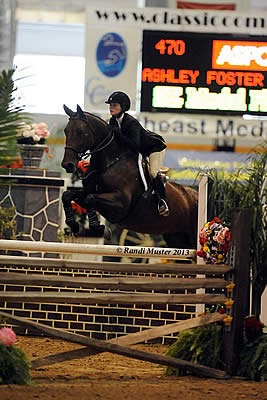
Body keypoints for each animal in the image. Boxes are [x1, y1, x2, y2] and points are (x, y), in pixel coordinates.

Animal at [61, 105, 199, 250]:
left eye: (81, 132)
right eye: (66, 131)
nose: (68, 165)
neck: (109, 163)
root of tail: (195, 195)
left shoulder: (121, 203)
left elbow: (89, 198)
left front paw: (97, 228)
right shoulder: (90, 191)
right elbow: (69, 195)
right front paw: (74, 225)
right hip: (176, 237)